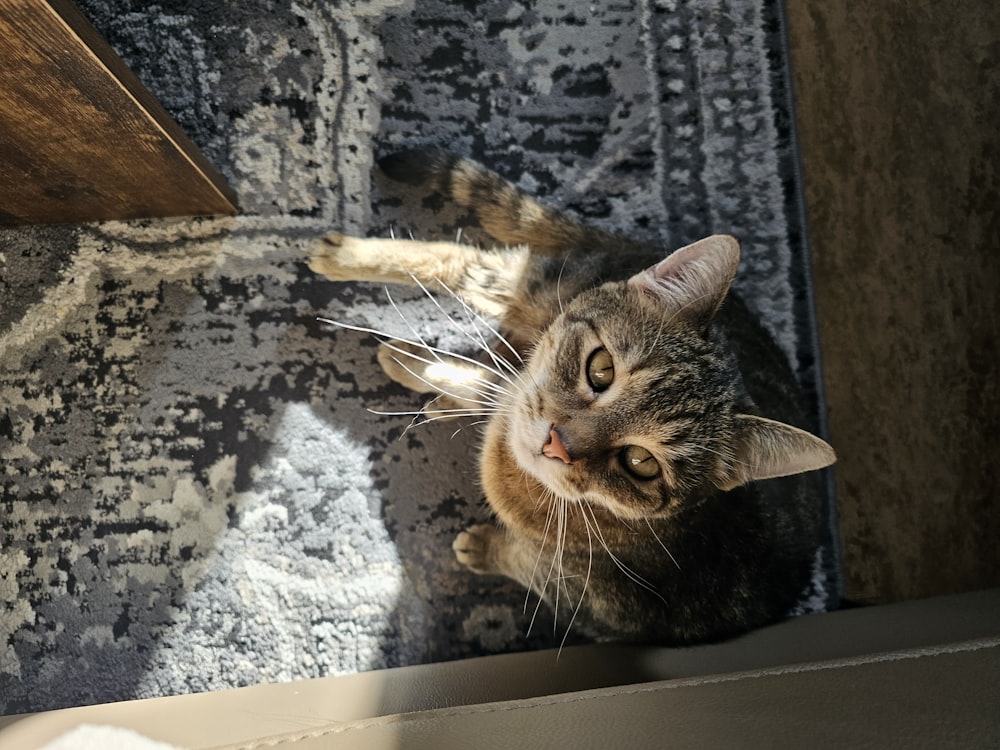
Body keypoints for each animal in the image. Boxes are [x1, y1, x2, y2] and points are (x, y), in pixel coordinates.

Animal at [306, 148, 836, 648]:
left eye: (641, 463)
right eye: (600, 369)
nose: (556, 444)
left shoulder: (574, 593)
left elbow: (517, 554)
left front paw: (480, 546)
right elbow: (495, 375)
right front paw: (425, 367)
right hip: (533, 287)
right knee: (465, 264)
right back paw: (346, 256)